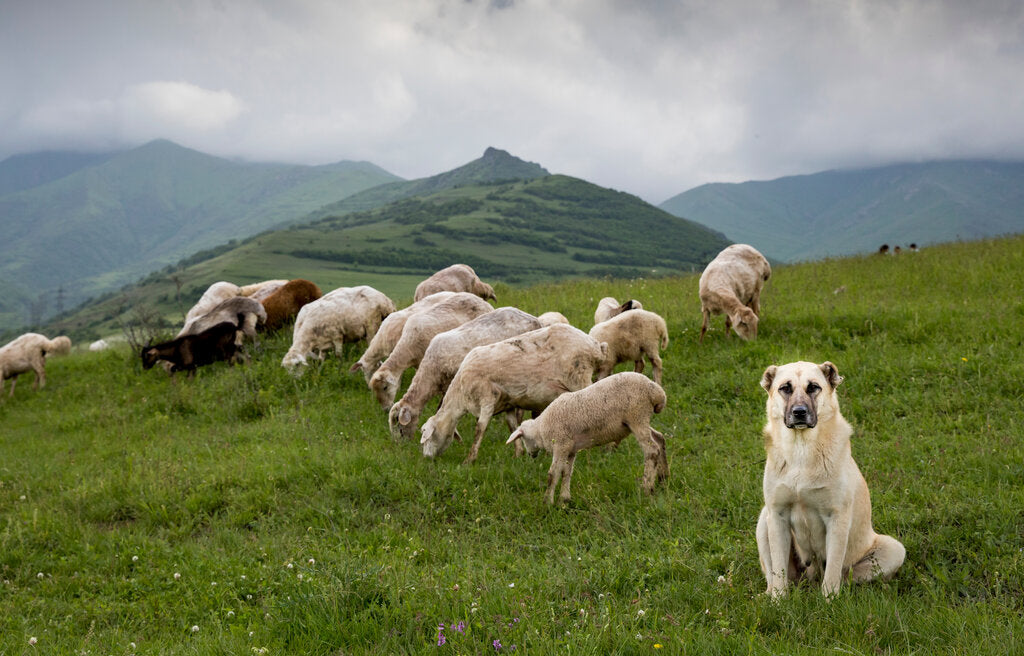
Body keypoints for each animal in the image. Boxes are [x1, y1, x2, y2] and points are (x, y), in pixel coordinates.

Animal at [421, 323, 606, 466]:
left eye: (425, 435)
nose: (426, 458)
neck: (460, 395)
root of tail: (595, 345)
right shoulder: (507, 403)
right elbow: (512, 426)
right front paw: (518, 455)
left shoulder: (488, 397)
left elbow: (480, 429)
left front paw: (469, 460)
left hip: (579, 376)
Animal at [505, 370, 667, 503]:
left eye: (523, 438)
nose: (531, 455)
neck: (541, 429)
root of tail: (656, 391)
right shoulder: (570, 449)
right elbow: (566, 472)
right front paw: (564, 500)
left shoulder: (561, 445)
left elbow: (553, 474)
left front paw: (547, 502)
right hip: (637, 421)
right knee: (659, 439)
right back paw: (663, 478)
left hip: (637, 415)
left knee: (652, 450)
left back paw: (646, 488)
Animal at [753, 360, 905, 597]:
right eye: (785, 388)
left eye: (813, 387)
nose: (799, 412)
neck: (801, 449)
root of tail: (810, 578)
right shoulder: (777, 514)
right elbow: (778, 569)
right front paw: (779, 601)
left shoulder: (837, 517)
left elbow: (833, 567)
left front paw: (829, 601)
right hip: (764, 520)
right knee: (775, 576)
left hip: (893, 550)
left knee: (846, 576)